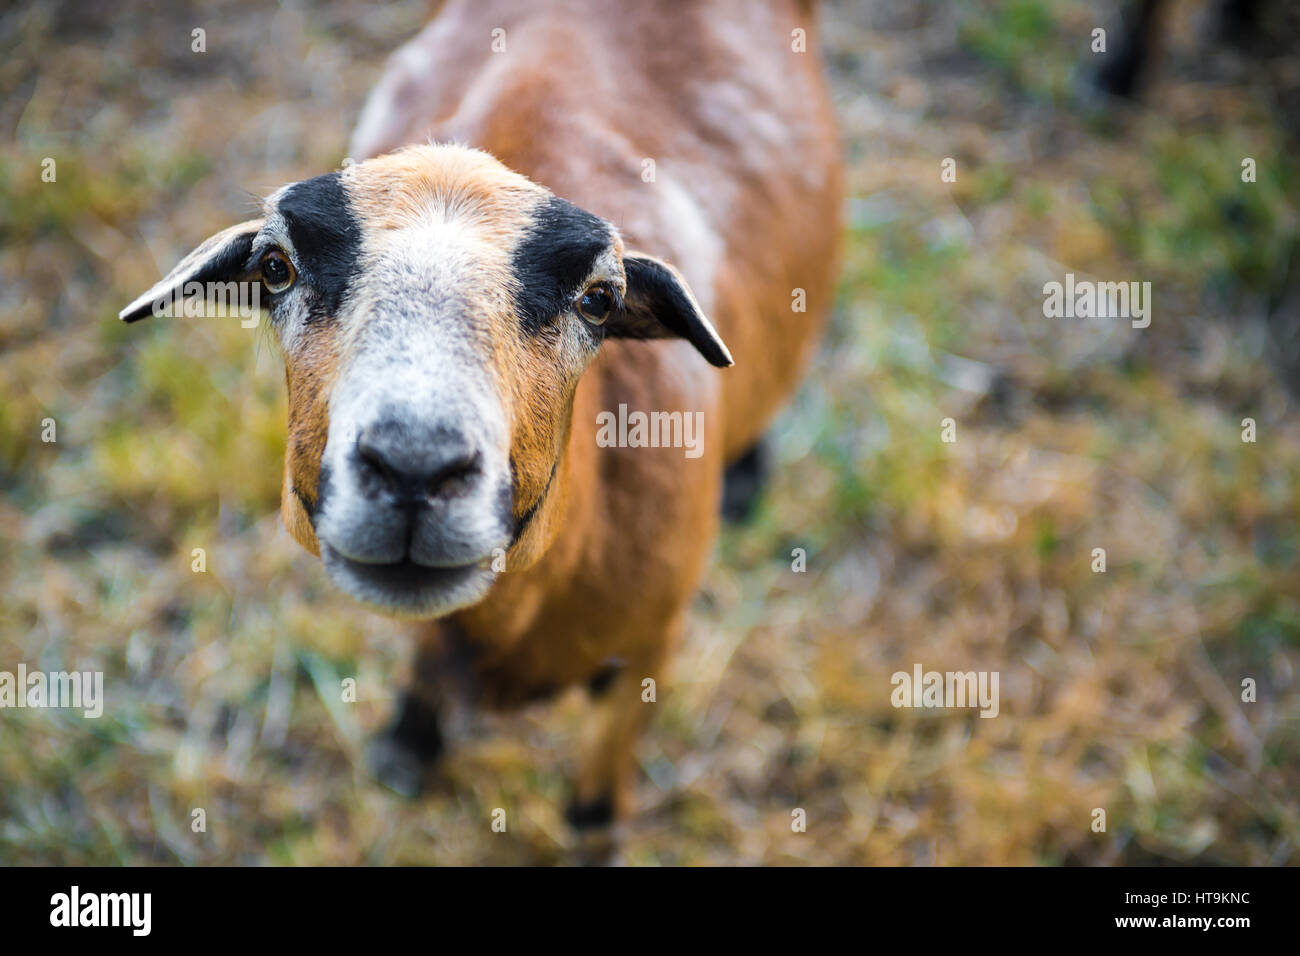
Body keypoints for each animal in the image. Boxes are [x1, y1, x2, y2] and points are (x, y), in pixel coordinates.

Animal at [116, 0, 837, 842]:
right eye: (274, 268)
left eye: (599, 299)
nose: (414, 467)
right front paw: (406, 743)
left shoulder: (650, 650)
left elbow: (594, 816)